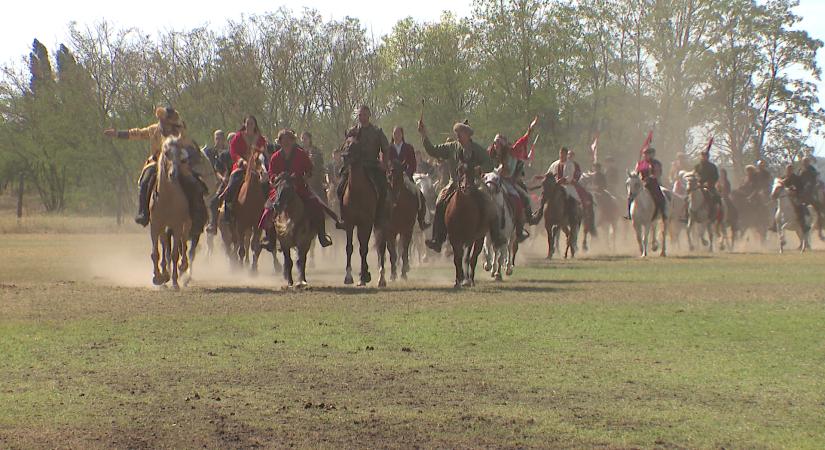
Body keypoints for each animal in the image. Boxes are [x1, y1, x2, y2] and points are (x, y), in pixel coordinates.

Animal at [150, 136, 192, 288]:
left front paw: (174, 282)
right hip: (163, 227)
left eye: (179, 153)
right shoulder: (155, 225)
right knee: (164, 245)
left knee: (183, 243)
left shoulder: (177, 225)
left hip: (186, 224)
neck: (167, 197)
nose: (173, 174)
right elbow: (156, 253)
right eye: (166, 153)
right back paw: (164, 273)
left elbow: (175, 254)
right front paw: (158, 277)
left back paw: (183, 267)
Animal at [340, 137, 378, 286]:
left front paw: (362, 278)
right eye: (345, 144)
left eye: (356, 145)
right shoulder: (349, 223)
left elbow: (363, 249)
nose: (345, 157)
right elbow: (349, 248)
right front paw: (348, 277)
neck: (357, 192)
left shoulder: (366, 223)